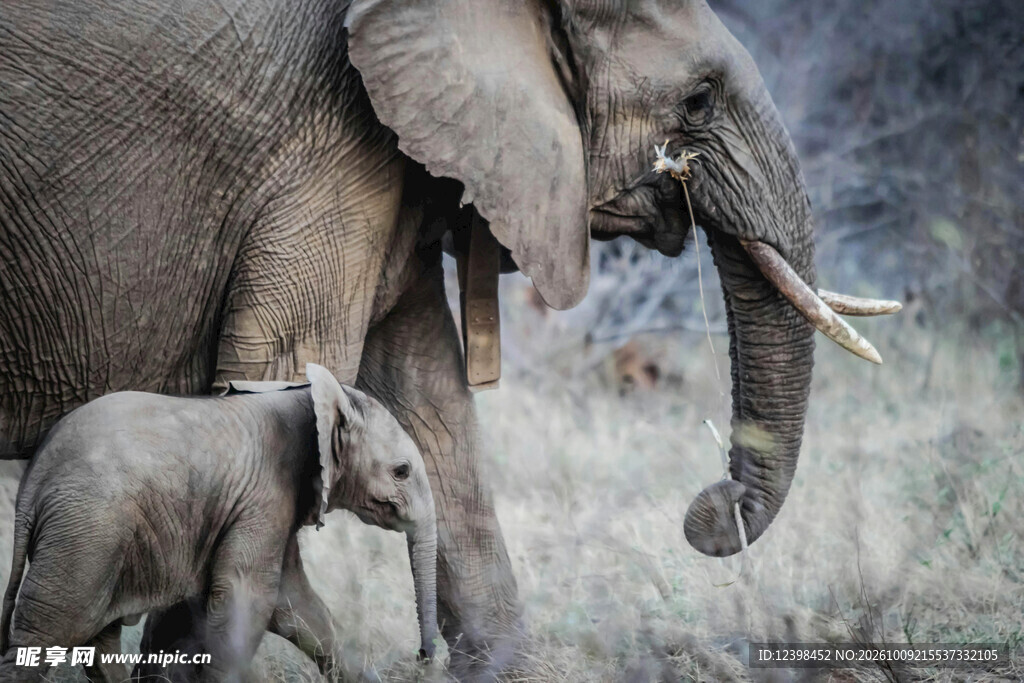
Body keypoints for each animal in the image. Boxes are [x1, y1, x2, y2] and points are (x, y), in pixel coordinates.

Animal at [0, 364, 438, 682]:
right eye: (401, 471)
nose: (423, 657)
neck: (311, 397)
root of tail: (33, 481)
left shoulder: (269, 504)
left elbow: (297, 607)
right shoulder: (264, 494)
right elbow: (247, 600)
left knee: (96, 639)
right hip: (87, 532)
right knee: (50, 632)